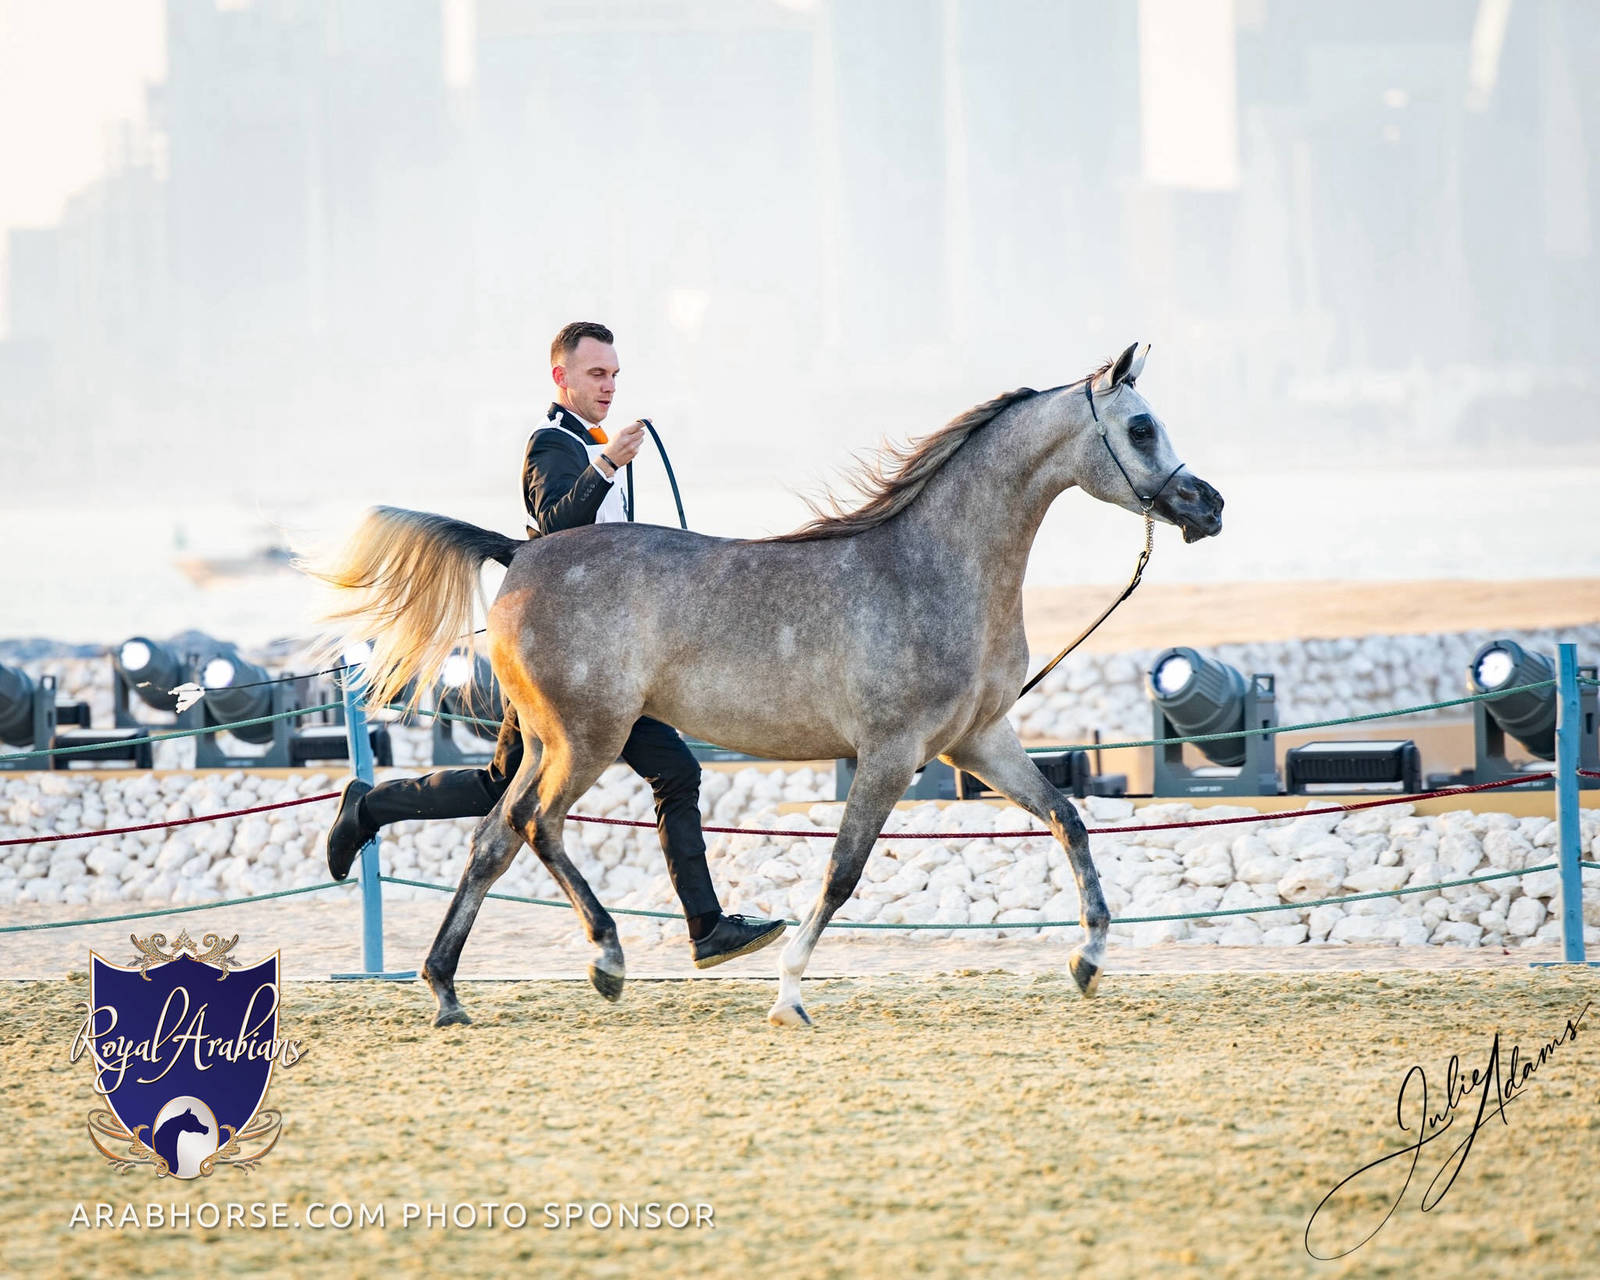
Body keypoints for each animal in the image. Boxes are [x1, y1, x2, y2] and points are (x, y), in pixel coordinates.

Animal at [315, 342, 1224, 1028]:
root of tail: (523, 549)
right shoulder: (891, 754)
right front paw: (788, 993)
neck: (934, 569)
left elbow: (1069, 818)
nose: (1207, 505)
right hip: (588, 740)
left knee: (493, 833)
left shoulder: (978, 742)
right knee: (536, 824)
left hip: (546, 742)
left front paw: (1087, 959)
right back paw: (603, 958)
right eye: (1140, 426)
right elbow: (843, 873)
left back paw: (445, 989)